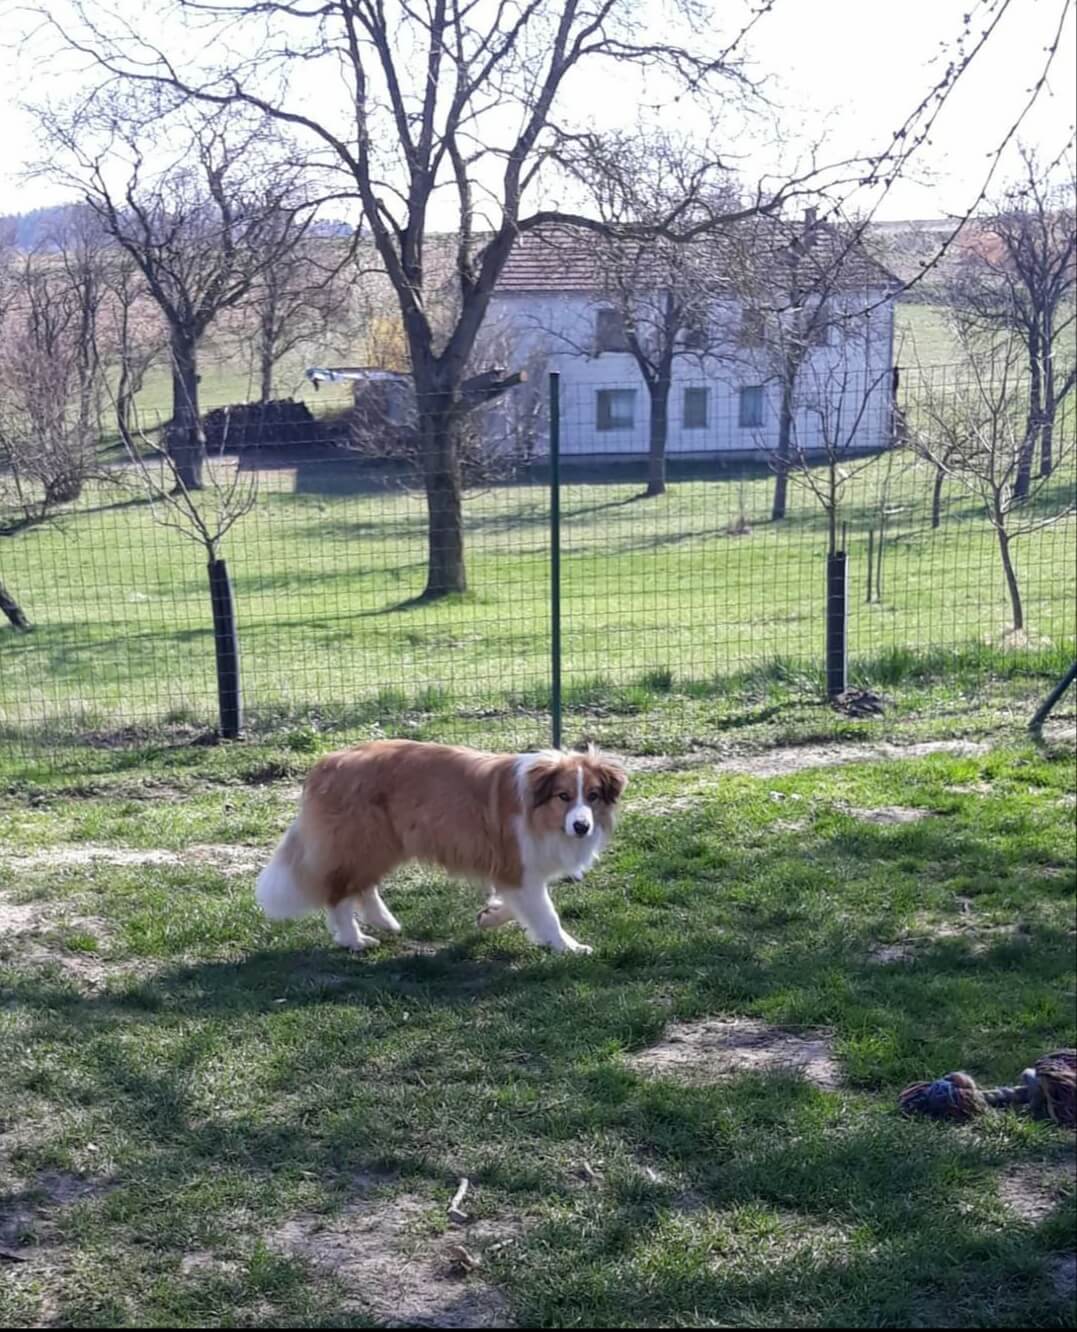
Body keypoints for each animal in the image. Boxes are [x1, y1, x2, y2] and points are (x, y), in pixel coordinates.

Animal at [255, 739, 626, 954]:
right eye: (563, 796)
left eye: (593, 795)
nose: (582, 827)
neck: (539, 811)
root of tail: (327, 762)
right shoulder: (520, 866)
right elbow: (547, 913)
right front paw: (569, 947)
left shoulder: (515, 870)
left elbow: (515, 903)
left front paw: (489, 916)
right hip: (364, 841)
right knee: (339, 893)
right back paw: (354, 939)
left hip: (383, 843)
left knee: (363, 887)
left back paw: (385, 922)